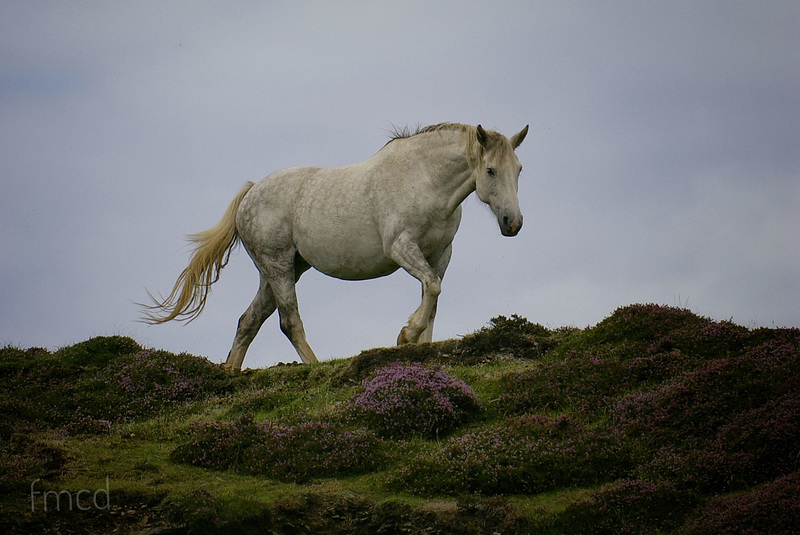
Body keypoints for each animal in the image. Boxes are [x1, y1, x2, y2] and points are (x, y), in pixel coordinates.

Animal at [145, 123, 524, 370]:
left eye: (519, 169)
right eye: (491, 170)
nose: (513, 223)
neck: (424, 179)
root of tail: (251, 192)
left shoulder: (440, 254)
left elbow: (432, 297)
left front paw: (420, 344)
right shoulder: (401, 247)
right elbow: (432, 287)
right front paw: (405, 336)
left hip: (281, 270)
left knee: (249, 320)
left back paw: (231, 375)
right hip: (279, 266)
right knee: (288, 321)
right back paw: (315, 367)